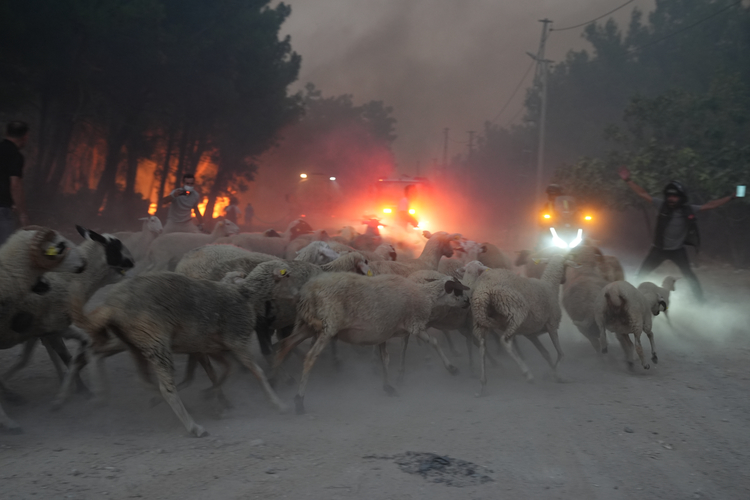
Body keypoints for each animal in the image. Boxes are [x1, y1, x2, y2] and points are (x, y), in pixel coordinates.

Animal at [270, 272, 470, 412]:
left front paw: (388, 387)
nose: (468, 302)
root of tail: (308, 291)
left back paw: (274, 387)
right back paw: (299, 401)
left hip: (307, 326)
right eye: (458, 289)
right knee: (310, 357)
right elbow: (434, 342)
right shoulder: (415, 325)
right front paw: (452, 368)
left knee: (283, 345)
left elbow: (385, 359)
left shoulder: (383, 333)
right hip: (328, 326)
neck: (426, 295)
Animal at [470, 254, 568, 394]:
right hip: (515, 312)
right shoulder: (552, 325)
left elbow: (546, 354)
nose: (564, 280)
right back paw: (527, 374)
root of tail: (483, 289)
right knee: (505, 341)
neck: (549, 285)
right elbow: (560, 354)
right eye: (566, 266)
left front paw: (551, 373)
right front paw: (556, 375)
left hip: (480, 319)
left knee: (482, 346)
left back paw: (483, 384)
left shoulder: (531, 333)